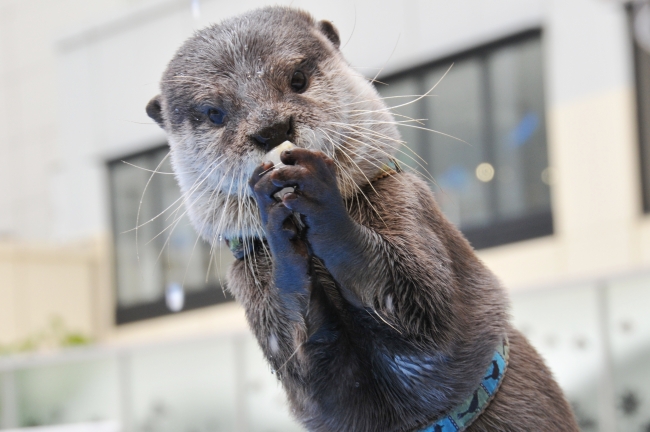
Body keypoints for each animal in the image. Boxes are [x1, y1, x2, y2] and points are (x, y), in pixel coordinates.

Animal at [143, 6, 576, 432]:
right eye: (215, 113)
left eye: (297, 79)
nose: (272, 129)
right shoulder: (250, 284)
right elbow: (306, 365)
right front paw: (277, 223)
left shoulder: (407, 203)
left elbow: (425, 303)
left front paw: (319, 196)